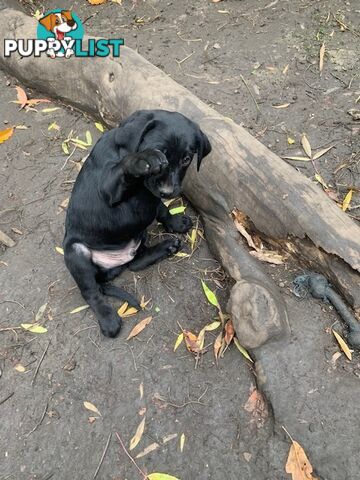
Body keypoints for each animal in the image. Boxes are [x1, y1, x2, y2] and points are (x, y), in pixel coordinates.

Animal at [64, 110, 211, 340]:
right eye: (160, 154)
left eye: (186, 159)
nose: (168, 191)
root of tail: (112, 266)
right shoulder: (109, 188)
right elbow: (125, 169)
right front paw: (142, 159)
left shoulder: (151, 199)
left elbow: (162, 209)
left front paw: (176, 223)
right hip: (75, 253)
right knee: (91, 292)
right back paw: (109, 319)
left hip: (138, 236)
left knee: (136, 262)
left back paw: (166, 247)